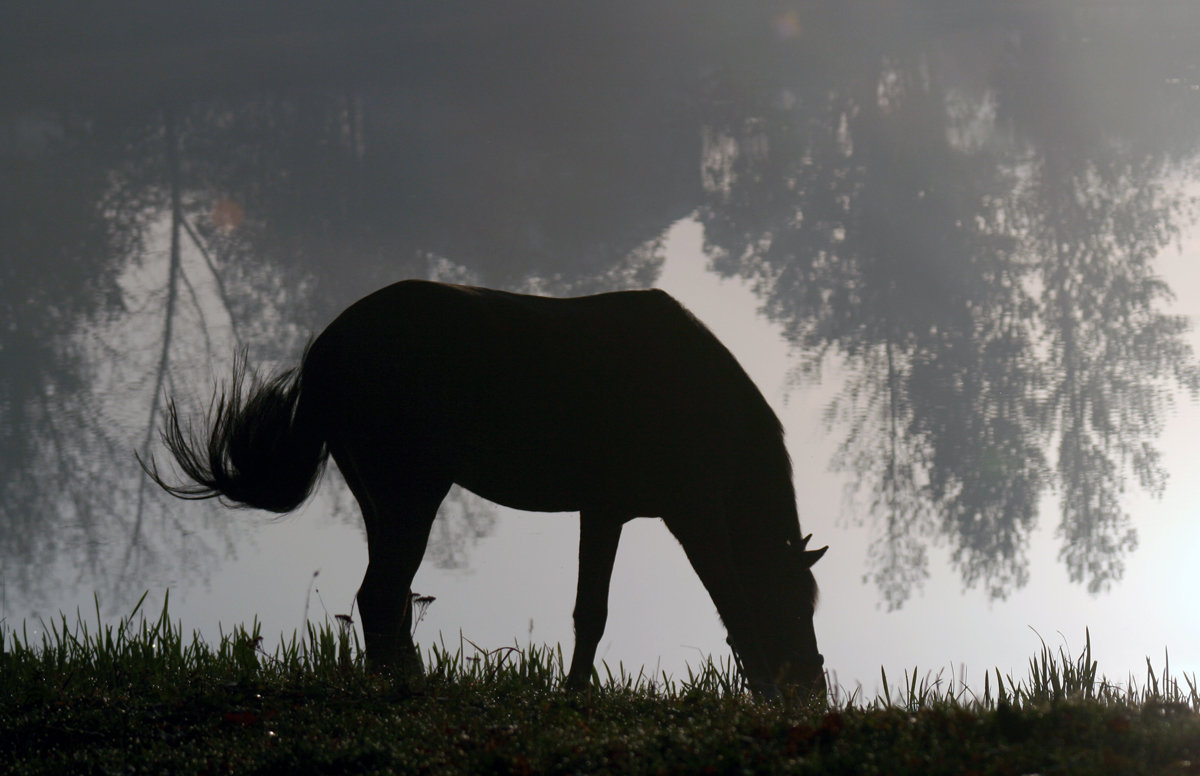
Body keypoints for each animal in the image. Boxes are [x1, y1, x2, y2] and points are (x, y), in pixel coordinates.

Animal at [142, 279, 825, 700]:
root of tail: (326, 351)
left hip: (380, 499)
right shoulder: (694, 513)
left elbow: (591, 612)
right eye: (796, 603)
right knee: (380, 595)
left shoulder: (605, 512)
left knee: (385, 597)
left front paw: (576, 693)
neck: (705, 401)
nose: (812, 694)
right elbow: (735, 603)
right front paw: (763, 695)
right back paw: (406, 687)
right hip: (413, 493)